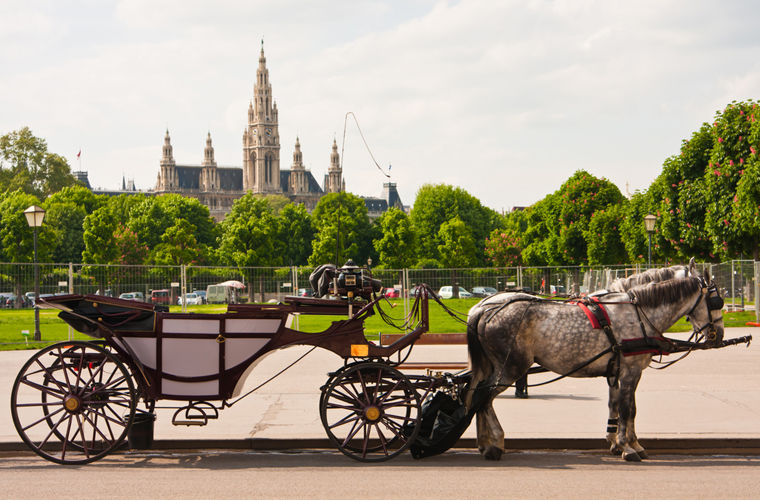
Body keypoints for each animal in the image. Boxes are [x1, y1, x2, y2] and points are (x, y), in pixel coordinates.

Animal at [464, 260, 724, 462]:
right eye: (716, 302)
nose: (718, 335)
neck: (638, 311)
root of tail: (483, 309)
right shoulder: (631, 371)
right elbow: (629, 409)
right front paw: (629, 447)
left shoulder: (616, 372)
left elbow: (616, 406)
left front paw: (619, 442)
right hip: (512, 367)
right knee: (484, 397)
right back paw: (494, 443)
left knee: (478, 395)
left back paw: (485, 443)